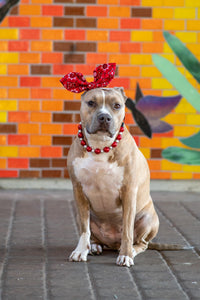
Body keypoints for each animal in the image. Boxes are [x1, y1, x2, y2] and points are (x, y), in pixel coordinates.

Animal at [67, 86, 159, 268]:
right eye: (91, 102)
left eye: (117, 105)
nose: (104, 117)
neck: (100, 145)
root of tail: (112, 243)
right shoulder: (79, 191)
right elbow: (84, 229)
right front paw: (80, 251)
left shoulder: (129, 191)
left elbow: (127, 230)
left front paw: (126, 256)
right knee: (94, 235)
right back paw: (94, 246)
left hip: (148, 218)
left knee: (142, 243)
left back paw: (131, 250)